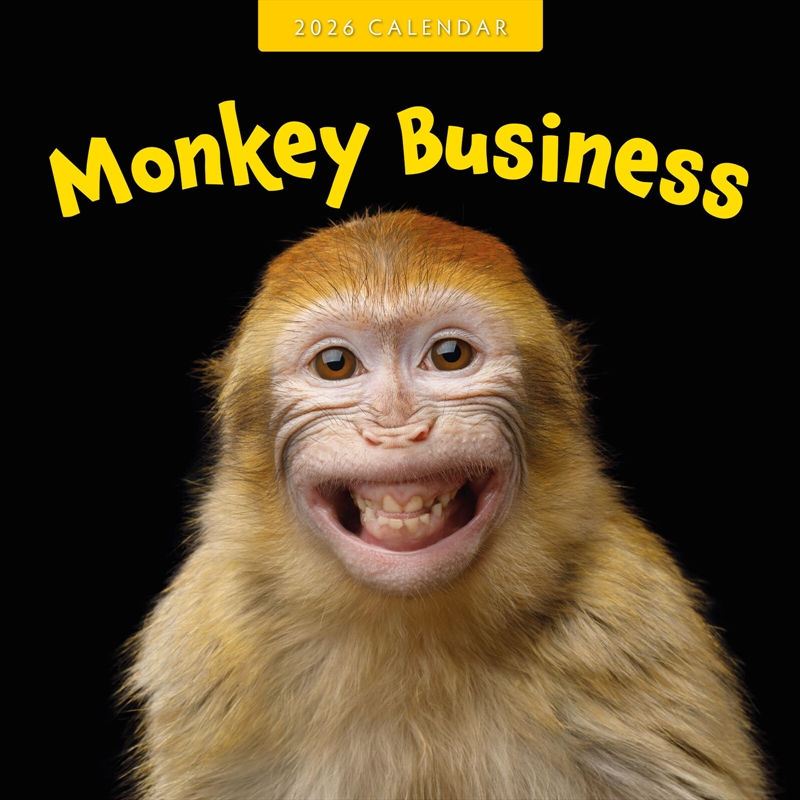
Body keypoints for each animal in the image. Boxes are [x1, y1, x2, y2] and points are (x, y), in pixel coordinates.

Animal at [125, 210, 767, 799]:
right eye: (336, 364)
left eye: (450, 354)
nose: (396, 427)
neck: (410, 631)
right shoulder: (205, 645)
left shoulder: (636, 623)